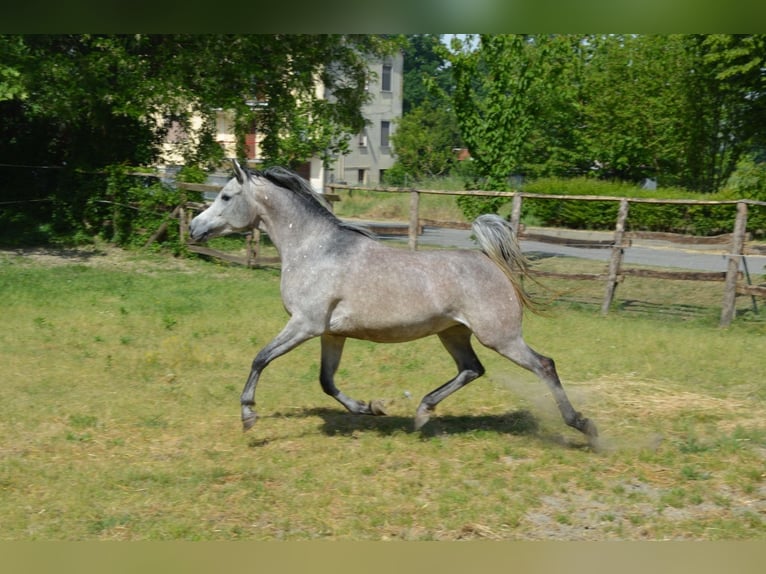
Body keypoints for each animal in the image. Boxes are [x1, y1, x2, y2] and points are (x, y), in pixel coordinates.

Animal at [189, 160, 598, 445]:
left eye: (225, 196)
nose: (194, 228)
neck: (313, 249)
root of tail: (491, 262)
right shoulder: (330, 333)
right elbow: (326, 381)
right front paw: (370, 408)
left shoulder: (304, 324)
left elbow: (260, 358)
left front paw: (248, 416)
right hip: (453, 333)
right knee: (472, 369)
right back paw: (422, 413)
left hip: (500, 336)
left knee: (544, 365)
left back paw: (584, 427)